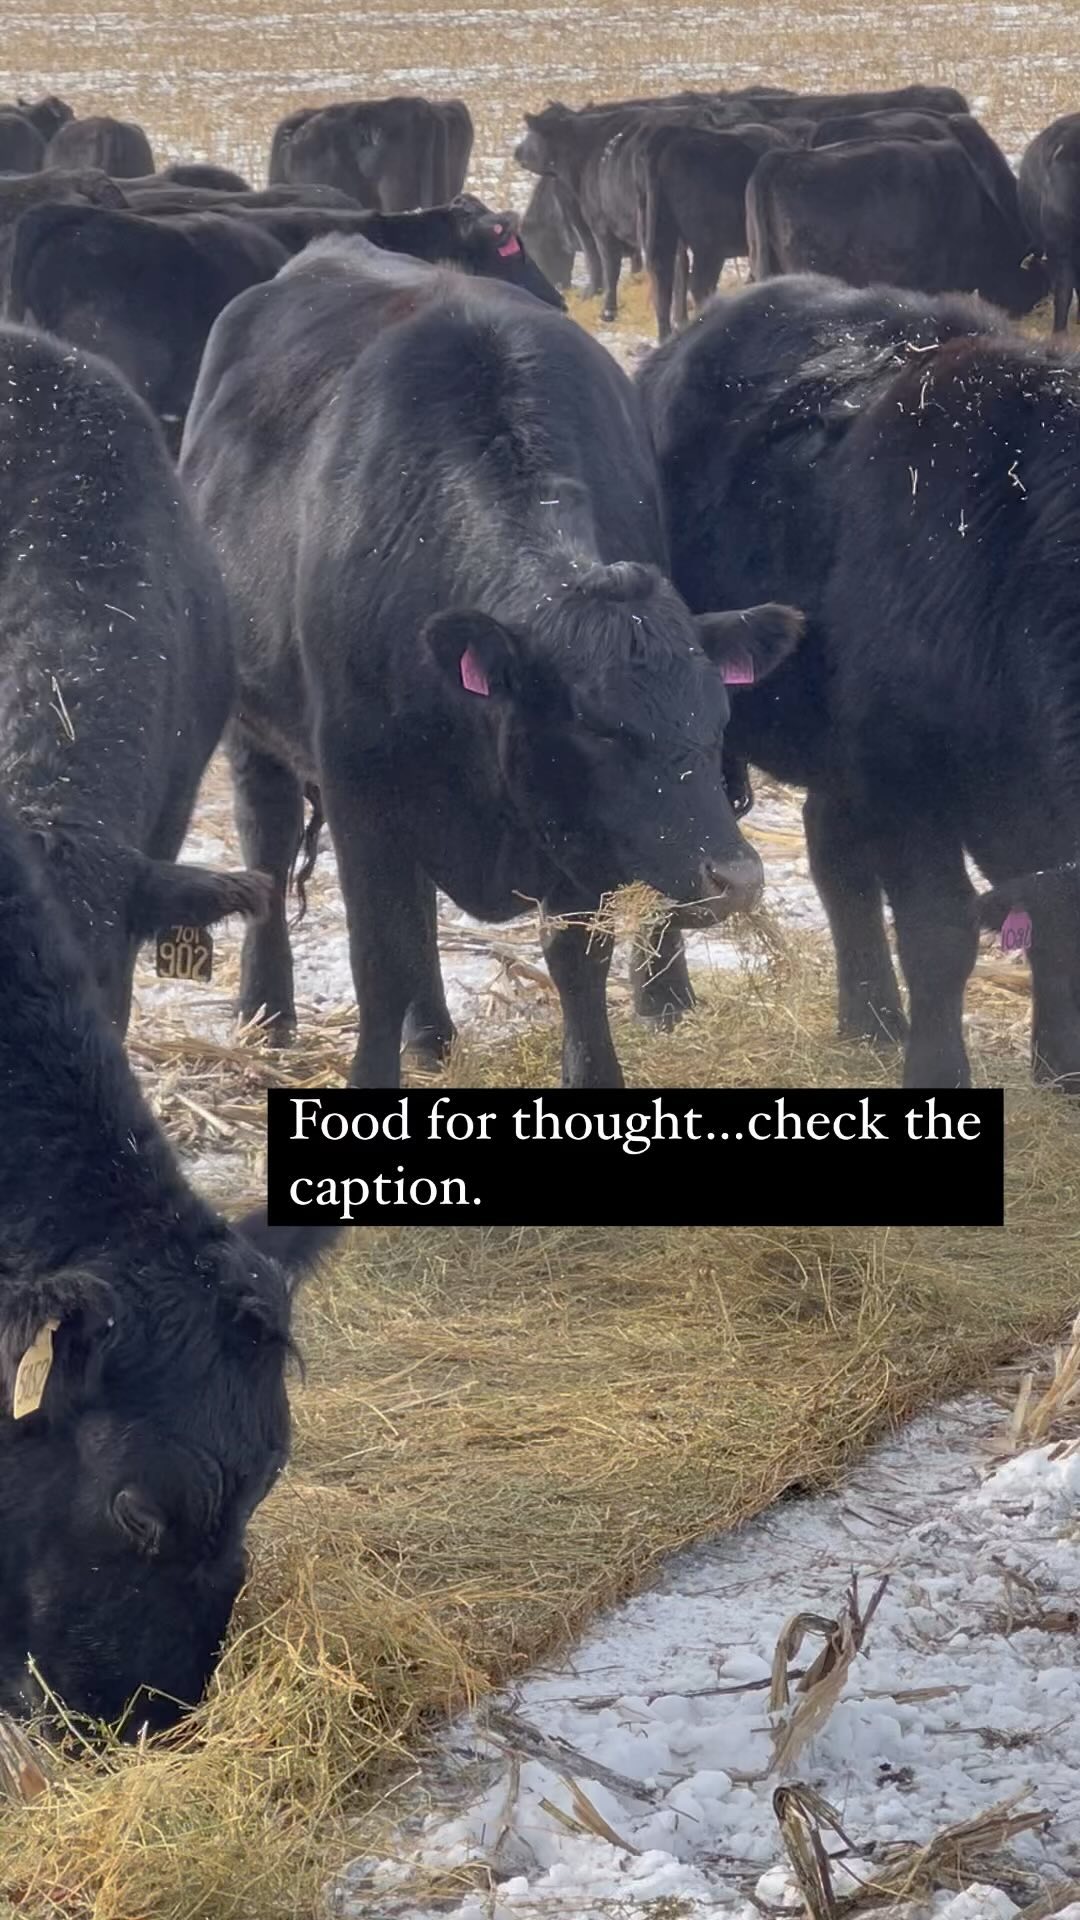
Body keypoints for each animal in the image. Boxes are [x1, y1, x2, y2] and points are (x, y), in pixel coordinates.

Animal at [180, 241, 802, 1088]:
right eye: (597, 727)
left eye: (717, 721)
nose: (735, 879)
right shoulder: (362, 792)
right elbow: (381, 957)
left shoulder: (574, 836)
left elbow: (575, 959)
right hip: (257, 734)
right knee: (270, 847)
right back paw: (268, 1014)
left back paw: (433, 1035)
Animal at [636, 273, 1041, 1088]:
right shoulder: (905, 778)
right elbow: (939, 931)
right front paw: (940, 1074)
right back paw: (664, 999)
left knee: (831, 847)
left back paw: (871, 1018)